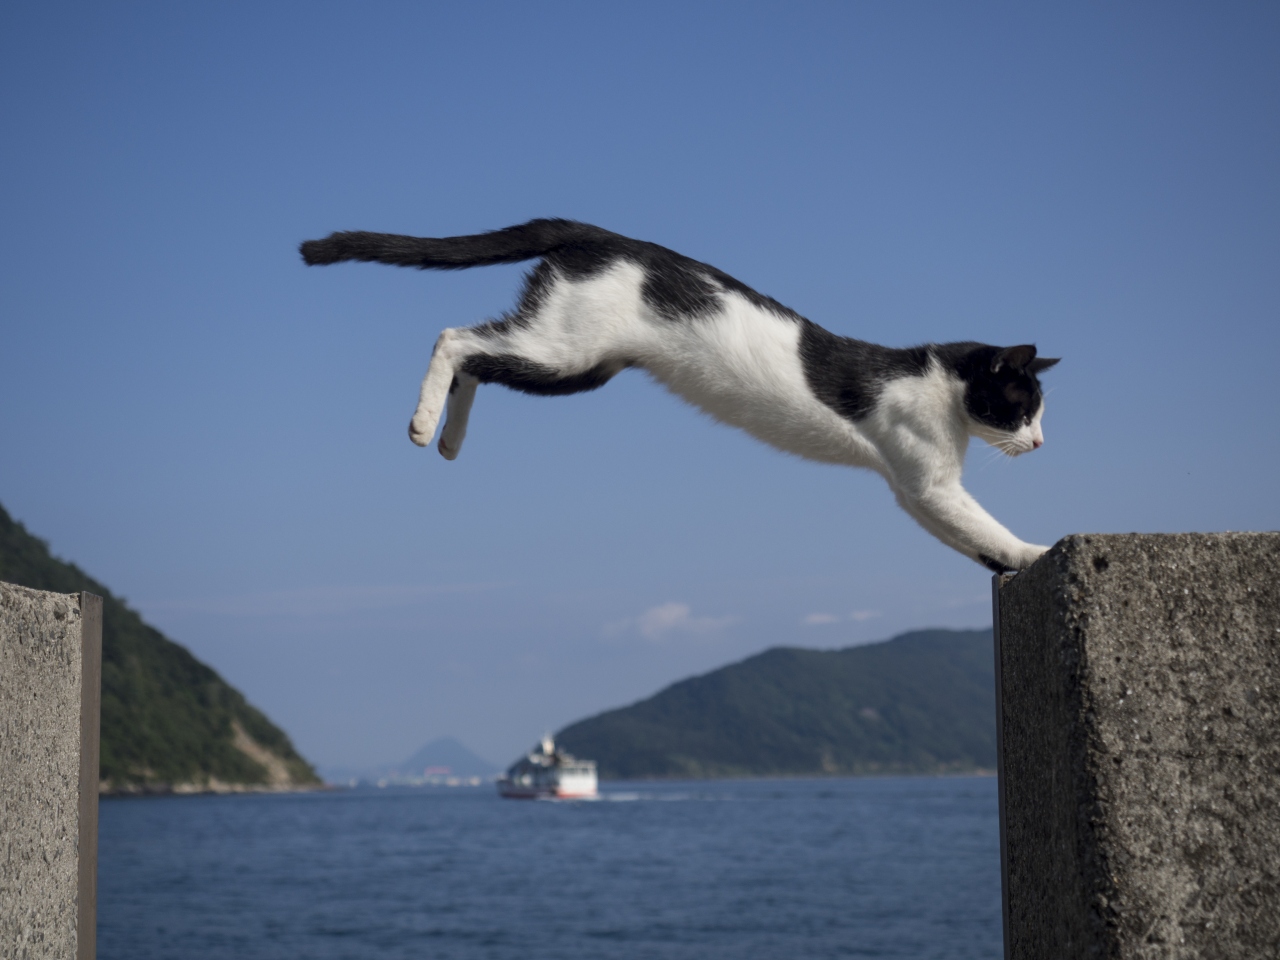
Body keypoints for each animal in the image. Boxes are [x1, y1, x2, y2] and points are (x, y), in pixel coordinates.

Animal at [299, 217, 1059, 570]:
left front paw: (1004, 565)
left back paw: (450, 440)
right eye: (1020, 407)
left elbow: (970, 541)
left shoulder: (917, 494)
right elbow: (983, 525)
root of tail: (600, 232)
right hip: (565, 350)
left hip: (576, 366)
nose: (1041, 441)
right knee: (454, 337)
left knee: (479, 355)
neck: (939, 386)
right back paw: (423, 423)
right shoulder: (928, 482)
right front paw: (1034, 553)